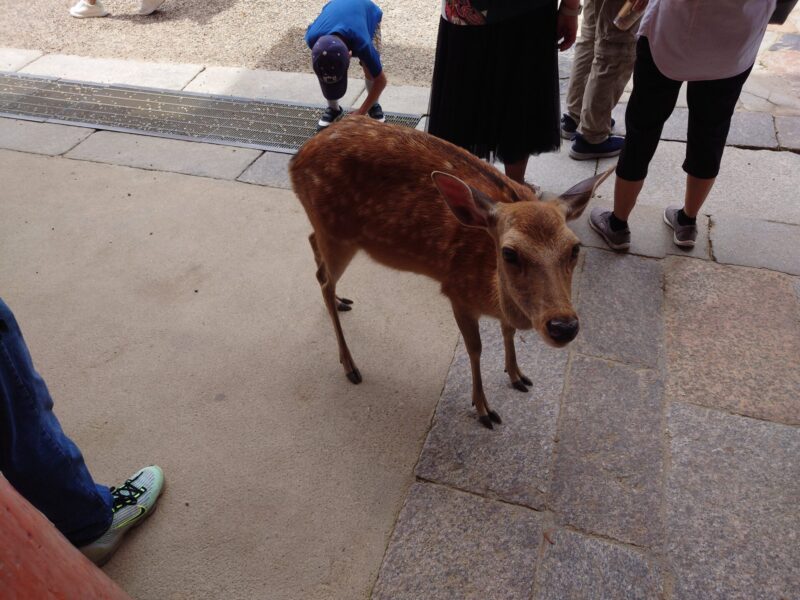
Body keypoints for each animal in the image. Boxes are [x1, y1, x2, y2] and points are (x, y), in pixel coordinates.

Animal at [290, 116, 608, 426]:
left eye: (575, 248)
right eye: (509, 252)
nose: (563, 326)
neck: (490, 291)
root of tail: (295, 160)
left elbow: (507, 330)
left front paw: (517, 375)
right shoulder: (457, 292)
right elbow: (475, 348)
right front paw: (483, 408)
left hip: (329, 231)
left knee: (313, 246)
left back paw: (340, 302)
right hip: (336, 232)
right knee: (324, 279)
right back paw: (350, 364)